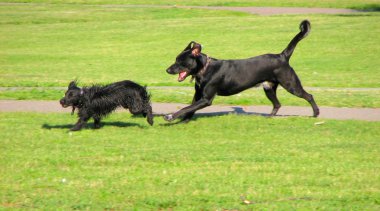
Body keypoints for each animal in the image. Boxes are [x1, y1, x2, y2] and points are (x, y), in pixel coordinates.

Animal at [163, 20, 318, 122]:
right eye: (175, 59)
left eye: (180, 61)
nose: (167, 70)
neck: (205, 69)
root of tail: (282, 56)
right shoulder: (198, 94)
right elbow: (190, 108)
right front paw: (184, 120)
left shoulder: (206, 99)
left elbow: (185, 108)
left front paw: (170, 116)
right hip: (268, 87)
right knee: (277, 104)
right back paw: (270, 117)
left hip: (290, 84)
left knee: (309, 96)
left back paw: (316, 113)